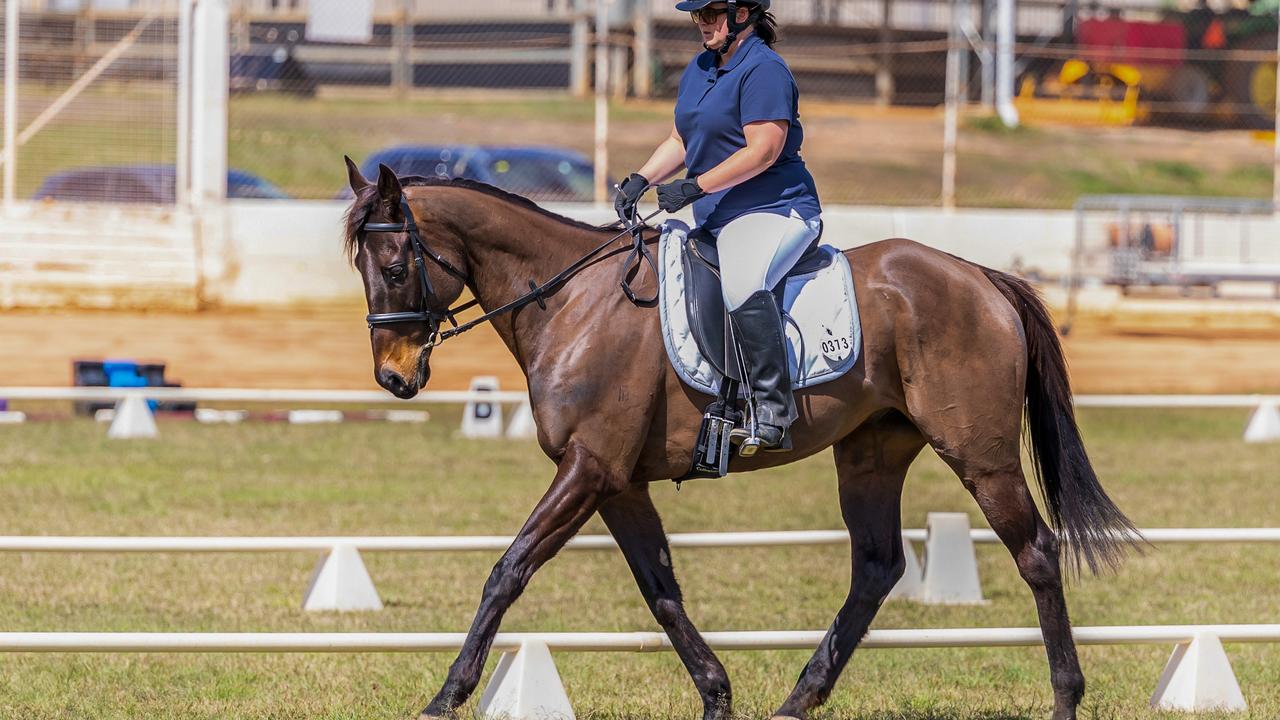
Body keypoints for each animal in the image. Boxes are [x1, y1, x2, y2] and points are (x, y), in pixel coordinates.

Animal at [343, 159, 1141, 717]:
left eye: (394, 267)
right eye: (360, 268)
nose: (394, 378)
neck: (571, 300)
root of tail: (979, 275)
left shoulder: (589, 468)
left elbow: (507, 571)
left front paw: (446, 695)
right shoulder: (618, 482)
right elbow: (661, 589)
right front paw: (716, 692)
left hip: (980, 455)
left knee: (1035, 553)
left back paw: (1065, 697)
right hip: (872, 452)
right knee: (876, 568)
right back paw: (797, 701)